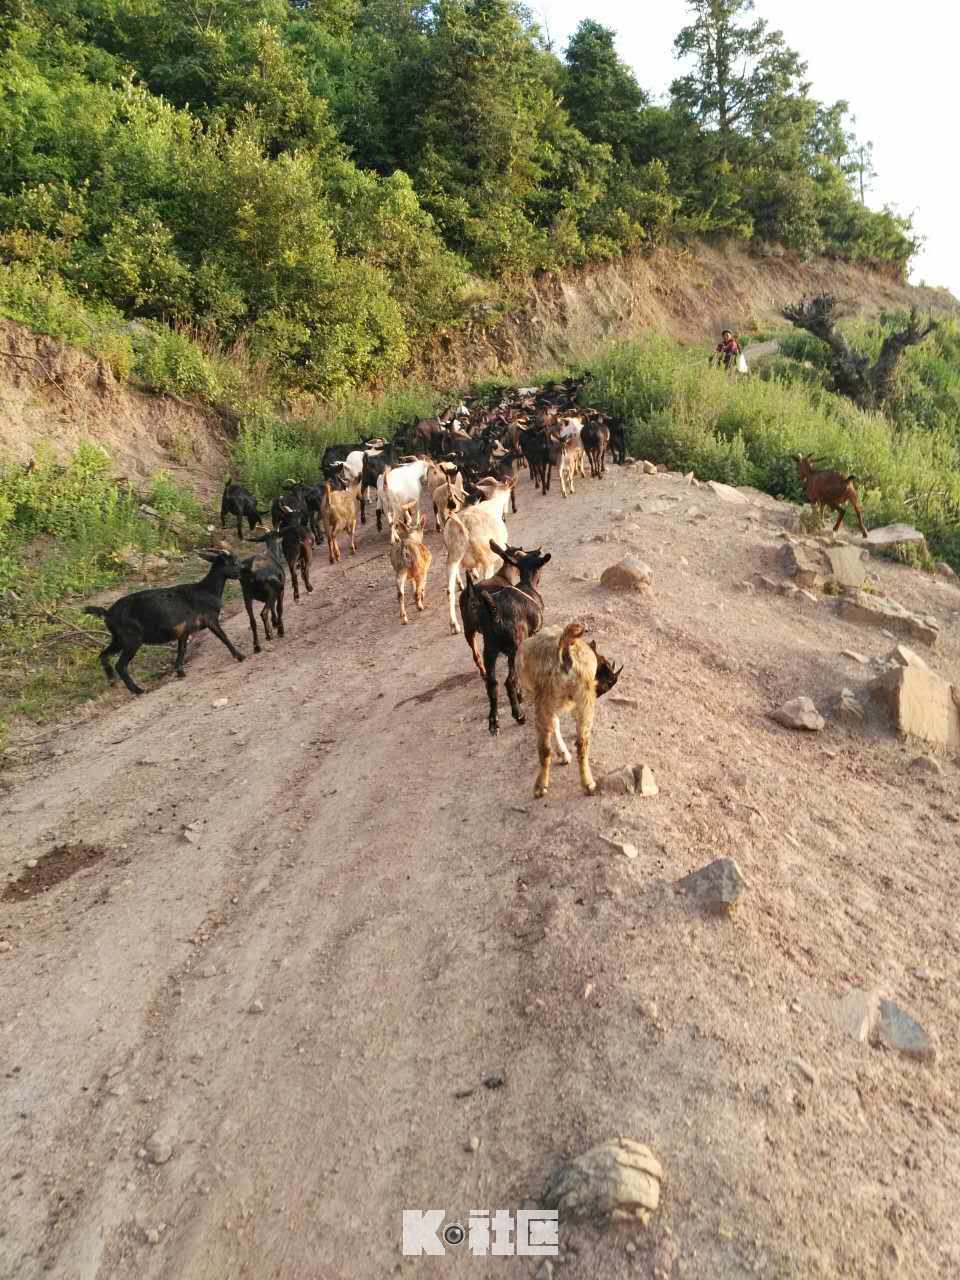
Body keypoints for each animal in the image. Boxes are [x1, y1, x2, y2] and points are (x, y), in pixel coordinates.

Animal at [84, 547, 245, 696]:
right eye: (234, 562)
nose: (241, 572)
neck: (206, 590)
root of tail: (108, 613)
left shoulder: (184, 631)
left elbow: (182, 650)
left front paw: (180, 672)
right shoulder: (210, 619)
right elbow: (223, 637)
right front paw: (240, 656)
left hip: (118, 639)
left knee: (103, 655)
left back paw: (112, 681)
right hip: (132, 640)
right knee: (120, 665)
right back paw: (138, 690)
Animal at [463, 540, 552, 742]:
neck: (527, 586)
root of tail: (495, 615)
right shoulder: (531, 636)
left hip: (488, 650)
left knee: (492, 683)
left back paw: (494, 723)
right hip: (513, 648)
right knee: (508, 681)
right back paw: (519, 715)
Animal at [519, 622, 624, 798]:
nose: (610, 681)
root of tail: (565, 650)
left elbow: (555, 724)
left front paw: (563, 755)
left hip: (546, 700)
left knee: (547, 747)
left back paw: (542, 786)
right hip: (583, 701)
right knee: (580, 743)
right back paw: (587, 784)